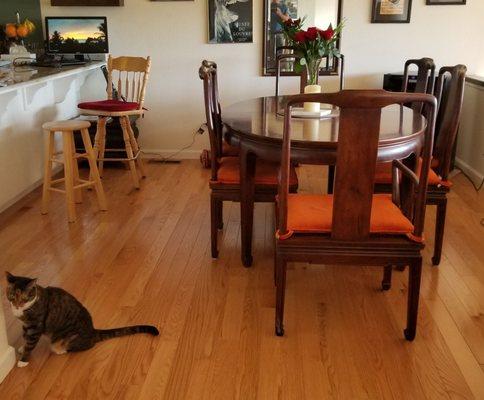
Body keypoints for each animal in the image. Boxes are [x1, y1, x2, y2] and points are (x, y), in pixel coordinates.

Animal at [5, 274, 159, 368]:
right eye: (12, 296)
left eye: (24, 297)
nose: (17, 305)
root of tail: (93, 331)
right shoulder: (26, 326)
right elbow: (25, 338)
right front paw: (21, 348)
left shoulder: (35, 327)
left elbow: (30, 343)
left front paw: (23, 360)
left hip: (69, 338)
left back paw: (60, 349)